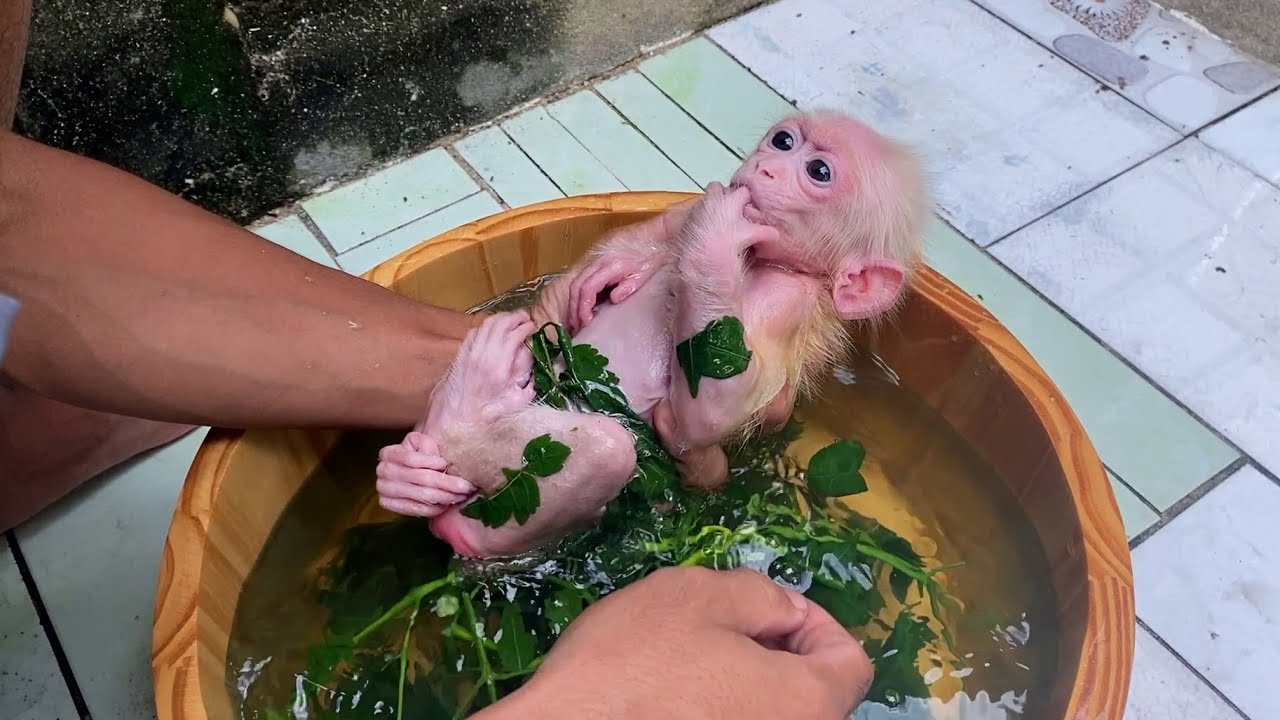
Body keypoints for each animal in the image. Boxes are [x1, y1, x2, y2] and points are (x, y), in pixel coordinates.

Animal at [374, 109, 928, 559]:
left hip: (541, 452)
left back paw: (461, 455)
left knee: (603, 453)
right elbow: (640, 245)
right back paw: (413, 466)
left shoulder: (791, 300)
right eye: (784, 141)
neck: (764, 261)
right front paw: (619, 267)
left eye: (819, 172)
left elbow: (707, 414)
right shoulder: (684, 216)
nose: (767, 168)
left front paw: (717, 234)